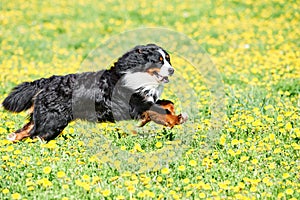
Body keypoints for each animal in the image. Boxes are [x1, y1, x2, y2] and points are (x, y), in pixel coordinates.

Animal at [1, 43, 188, 141]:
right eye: (159, 60)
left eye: (168, 59)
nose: (172, 70)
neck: (138, 75)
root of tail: (47, 81)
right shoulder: (136, 105)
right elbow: (161, 110)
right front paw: (176, 119)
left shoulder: (144, 99)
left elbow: (167, 104)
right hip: (53, 122)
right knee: (36, 135)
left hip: (44, 118)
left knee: (25, 131)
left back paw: (12, 139)